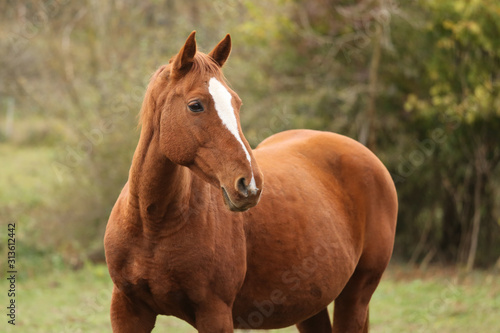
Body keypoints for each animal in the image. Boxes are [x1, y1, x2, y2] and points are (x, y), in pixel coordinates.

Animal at [104, 31, 398, 332]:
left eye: (236, 103)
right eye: (195, 105)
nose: (250, 185)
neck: (153, 224)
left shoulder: (215, 313)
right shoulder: (128, 312)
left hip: (355, 295)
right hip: (311, 304)